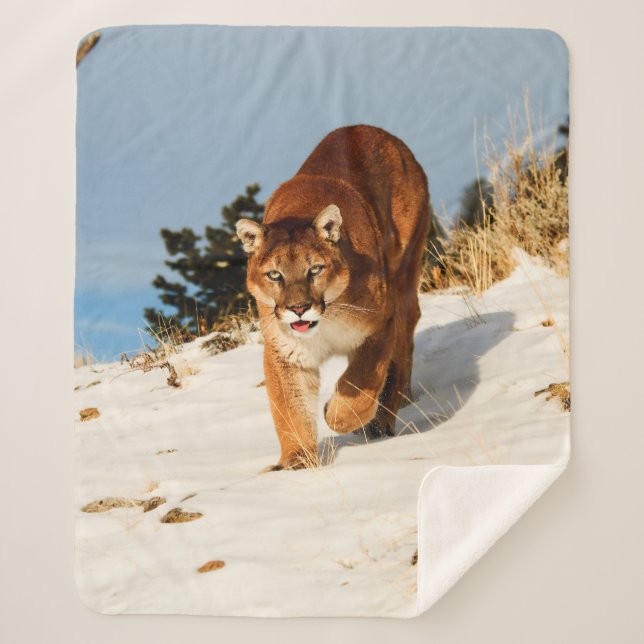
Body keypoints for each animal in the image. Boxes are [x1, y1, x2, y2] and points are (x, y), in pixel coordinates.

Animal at [236, 125, 430, 469]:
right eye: (275, 275)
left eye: (314, 269)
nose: (299, 309)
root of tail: (363, 127)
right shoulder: (284, 351)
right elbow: (291, 408)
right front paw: (297, 461)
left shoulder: (380, 325)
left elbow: (360, 382)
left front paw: (336, 415)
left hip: (405, 270)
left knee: (404, 340)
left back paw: (387, 415)